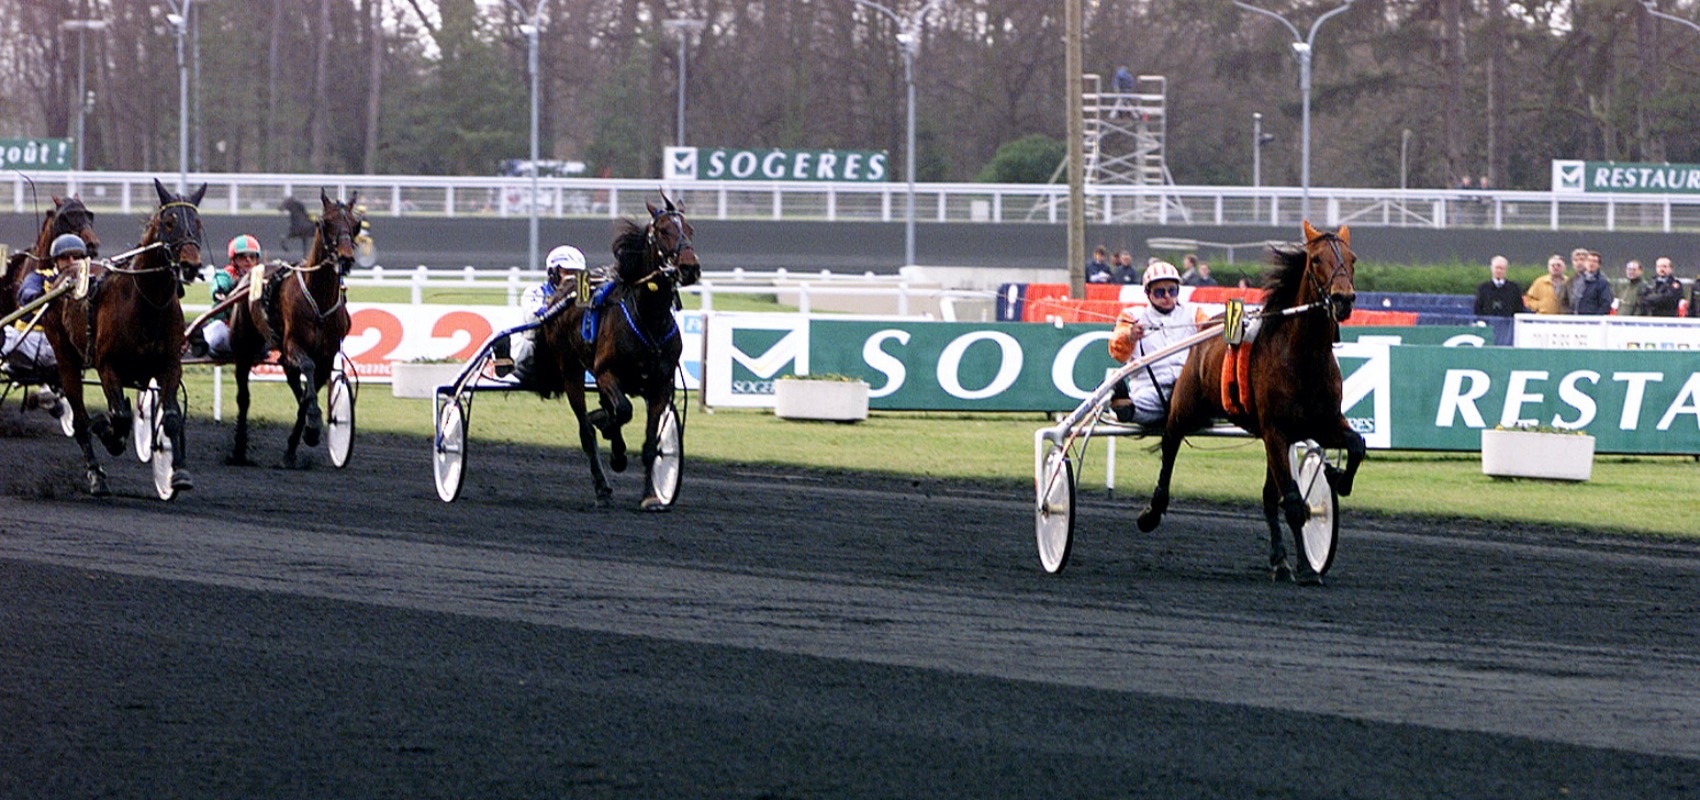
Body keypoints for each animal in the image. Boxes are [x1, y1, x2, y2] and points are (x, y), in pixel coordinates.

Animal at [38, 178, 205, 499]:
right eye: (169, 222)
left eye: (198, 223)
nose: (190, 265)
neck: (147, 304)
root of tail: (64, 274)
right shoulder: (108, 367)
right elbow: (118, 416)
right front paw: (109, 433)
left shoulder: (169, 365)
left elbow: (171, 416)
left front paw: (177, 473)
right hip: (65, 358)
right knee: (80, 420)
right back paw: (96, 474)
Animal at [227, 188, 360, 465]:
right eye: (325, 222)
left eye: (356, 224)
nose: (345, 258)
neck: (318, 299)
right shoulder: (294, 345)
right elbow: (307, 371)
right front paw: (313, 425)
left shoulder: (326, 356)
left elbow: (308, 395)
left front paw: (302, 437)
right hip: (243, 349)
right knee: (243, 397)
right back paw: (239, 449)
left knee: (291, 379)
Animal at [527, 191, 693, 509]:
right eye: (663, 231)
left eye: (690, 230)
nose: (690, 267)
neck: (649, 318)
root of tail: (563, 292)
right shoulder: (607, 373)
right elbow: (623, 412)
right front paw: (615, 450)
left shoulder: (661, 384)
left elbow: (650, 443)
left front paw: (651, 495)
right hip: (572, 372)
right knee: (586, 430)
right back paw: (602, 485)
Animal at [1135, 222, 1373, 584]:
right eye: (1317, 259)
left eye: (1353, 258)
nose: (1343, 299)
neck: (1304, 358)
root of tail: (1208, 325)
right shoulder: (1277, 431)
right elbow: (1293, 504)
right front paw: (1307, 568)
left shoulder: (1324, 422)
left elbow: (1357, 444)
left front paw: (1336, 477)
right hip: (1187, 406)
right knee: (1170, 441)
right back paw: (1152, 510)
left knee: (1268, 496)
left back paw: (1279, 560)